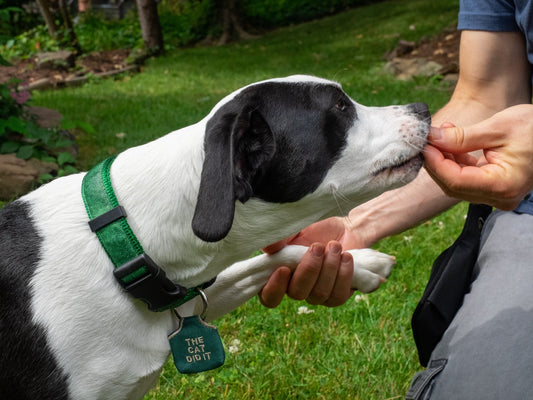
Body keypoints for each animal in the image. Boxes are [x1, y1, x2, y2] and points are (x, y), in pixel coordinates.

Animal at [0, 76, 428, 400]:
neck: (124, 247)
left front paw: (362, 265)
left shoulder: (194, 292)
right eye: (340, 107)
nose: (423, 109)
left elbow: (271, 257)